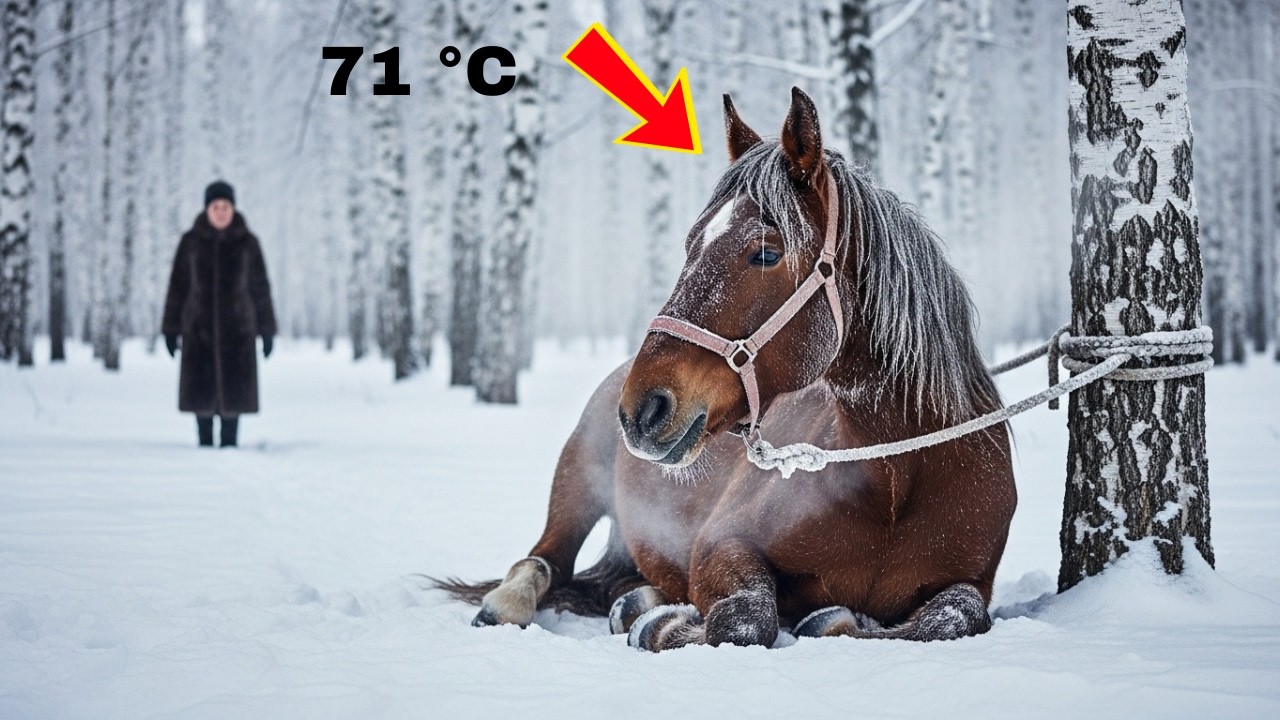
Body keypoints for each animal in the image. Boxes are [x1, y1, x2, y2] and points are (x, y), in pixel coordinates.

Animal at [438, 88, 1016, 652]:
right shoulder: (723, 543)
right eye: (690, 244)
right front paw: (665, 626)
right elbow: (745, 618)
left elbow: (952, 617)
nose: (643, 407)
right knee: (545, 559)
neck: (895, 478)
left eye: (764, 252)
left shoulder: (970, 581)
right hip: (577, 482)